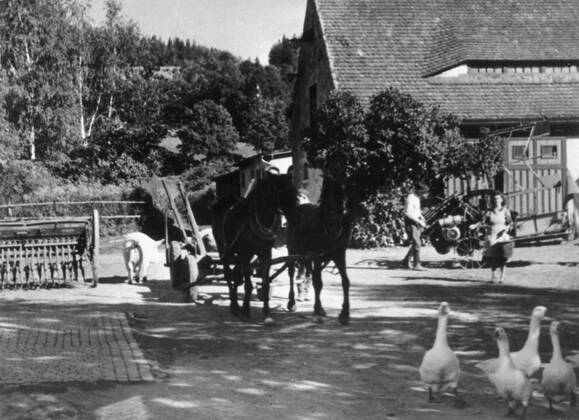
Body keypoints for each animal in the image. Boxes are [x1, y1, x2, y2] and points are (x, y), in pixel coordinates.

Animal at [212, 174, 300, 324]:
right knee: (228, 273)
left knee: (236, 274)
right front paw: (245, 311)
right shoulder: (245, 253)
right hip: (223, 248)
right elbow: (248, 285)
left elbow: (265, 283)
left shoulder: (265, 254)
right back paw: (234, 306)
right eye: (282, 192)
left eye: (294, 191)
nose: (296, 217)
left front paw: (267, 314)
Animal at [286, 177, 352, 324]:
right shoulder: (316, 256)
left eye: (341, 201)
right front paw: (317, 309)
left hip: (307, 256)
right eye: (325, 202)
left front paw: (344, 313)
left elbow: (345, 281)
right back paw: (292, 302)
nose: (334, 228)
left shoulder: (339, 254)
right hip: (292, 251)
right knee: (292, 274)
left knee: (310, 273)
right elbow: (318, 283)